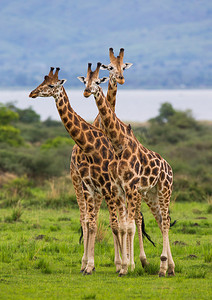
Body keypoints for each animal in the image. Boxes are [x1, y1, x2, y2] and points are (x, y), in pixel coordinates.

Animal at [28, 67, 127, 276]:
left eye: (51, 85)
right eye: (42, 82)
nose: (32, 93)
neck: (90, 147)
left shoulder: (106, 188)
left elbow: (112, 225)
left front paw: (118, 265)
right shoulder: (90, 186)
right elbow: (91, 223)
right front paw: (88, 265)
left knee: (128, 221)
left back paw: (129, 263)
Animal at [79, 65, 176, 276]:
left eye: (97, 81)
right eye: (85, 81)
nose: (87, 91)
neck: (119, 145)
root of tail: (169, 167)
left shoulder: (130, 187)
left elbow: (129, 225)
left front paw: (127, 266)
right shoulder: (120, 188)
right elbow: (123, 225)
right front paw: (124, 266)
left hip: (165, 190)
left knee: (165, 221)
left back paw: (163, 267)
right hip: (152, 193)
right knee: (161, 220)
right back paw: (170, 267)